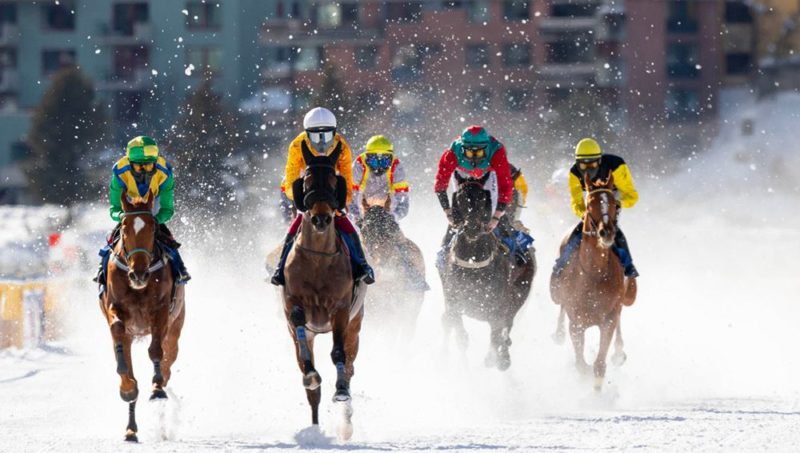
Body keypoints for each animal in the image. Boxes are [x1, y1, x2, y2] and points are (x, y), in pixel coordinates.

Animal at [99, 192, 186, 442]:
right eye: (125, 226)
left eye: (153, 227)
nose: (139, 274)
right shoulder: (114, 307)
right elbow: (118, 332)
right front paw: (127, 386)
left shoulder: (161, 312)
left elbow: (156, 351)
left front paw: (156, 389)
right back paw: (131, 428)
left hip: (175, 329)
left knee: (166, 364)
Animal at [282, 159, 364, 440]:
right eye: (306, 182)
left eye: (332, 182)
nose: (321, 218)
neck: (317, 258)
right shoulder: (293, 302)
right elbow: (297, 317)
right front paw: (310, 374)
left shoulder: (341, 309)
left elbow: (339, 353)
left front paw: (341, 392)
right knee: (312, 387)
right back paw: (315, 425)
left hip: (355, 327)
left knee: (349, 366)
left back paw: (346, 419)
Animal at [439, 182, 535, 370]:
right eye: (459, 198)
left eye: (484, 200)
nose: (472, 228)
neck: (473, 265)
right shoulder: (453, 299)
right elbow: (459, 333)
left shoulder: (498, 305)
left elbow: (498, 332)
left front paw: (496, 357)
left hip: (521, 290)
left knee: (508, 322)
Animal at [549, 173, 635, 391]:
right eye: (589, 205)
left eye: (614, 204)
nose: (607, 233)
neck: (593, 275)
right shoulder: (576, 321)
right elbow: (581, 364)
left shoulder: (609, 317)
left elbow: (599, 364)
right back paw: (558, 333)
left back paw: (618, 352)